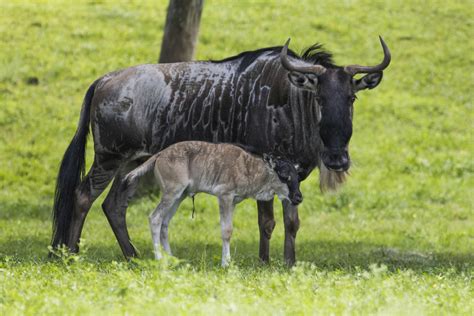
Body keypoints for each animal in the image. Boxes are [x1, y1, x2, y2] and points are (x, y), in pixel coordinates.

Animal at [124, 141, 302, 266]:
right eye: (284, 175)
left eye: (297, 176)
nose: (299, 198)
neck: (249, 168)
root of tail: (159, 155)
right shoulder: (224, 196)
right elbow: (226, 231)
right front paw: (225, 263)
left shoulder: (233, 202)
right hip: (171, 193)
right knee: (155, 218)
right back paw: (159, 258)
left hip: (179, 196)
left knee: (165, 223)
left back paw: (172, 258)